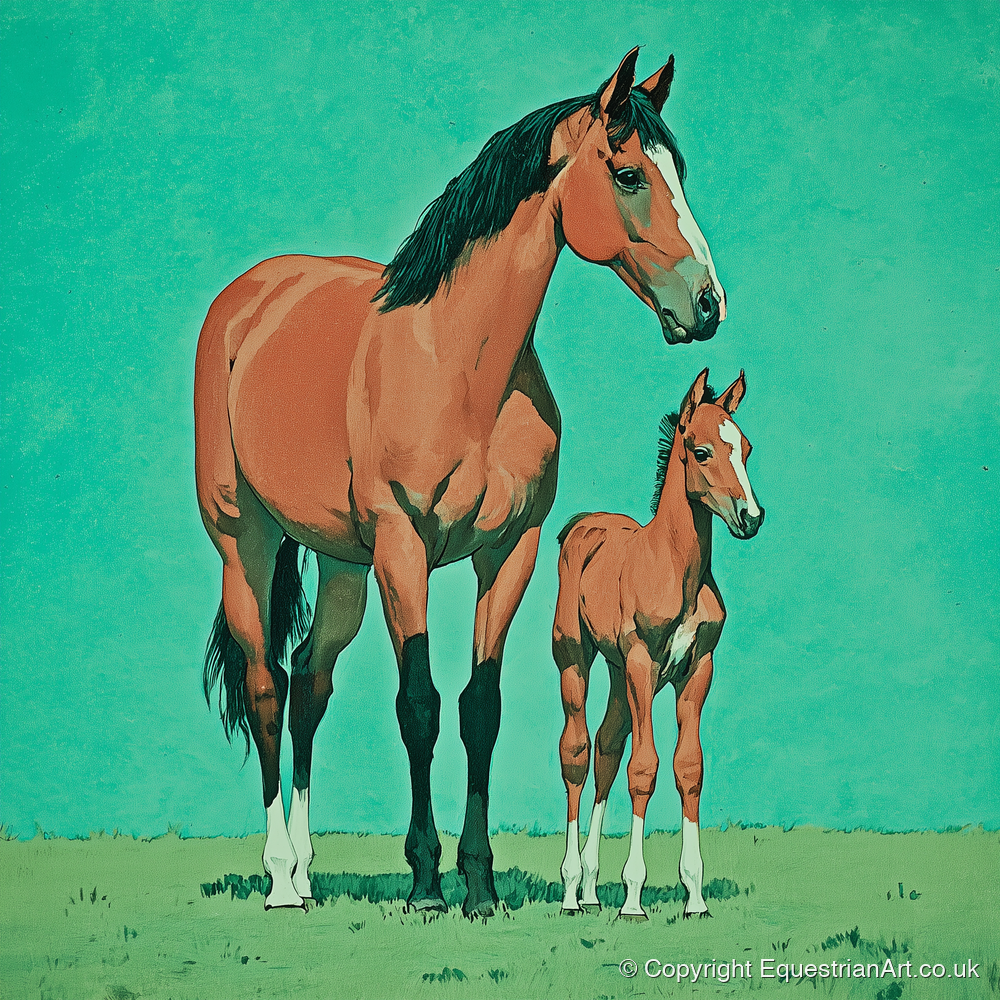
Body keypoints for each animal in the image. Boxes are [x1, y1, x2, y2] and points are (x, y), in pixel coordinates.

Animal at [194, 48, 727, 917]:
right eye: (627, 174)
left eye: (677, 170)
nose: (707, 304)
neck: (459, 365)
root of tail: (247, 302)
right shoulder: (404, 548)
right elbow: (419, 705)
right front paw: (425, 882)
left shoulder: (508, 550)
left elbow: (482, 707)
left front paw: (479, 884)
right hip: (246, 540)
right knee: (266, 683)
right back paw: (278, 881)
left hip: (341, 562)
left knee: (310, 680)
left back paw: (305, 872)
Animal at [554, 369, 762, 920]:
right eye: (702, 451)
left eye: (746, 448)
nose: (751, 517)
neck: (674, 566)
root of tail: (583, 523)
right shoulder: (643, 663)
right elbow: (644, 768)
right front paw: (633, 897)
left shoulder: (698, 667)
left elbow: (688, 766)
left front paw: (695, 896)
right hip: (577, 661)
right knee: (577, 752)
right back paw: (570, 891)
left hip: (616, 672)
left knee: (607, 745)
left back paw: (590, 888)